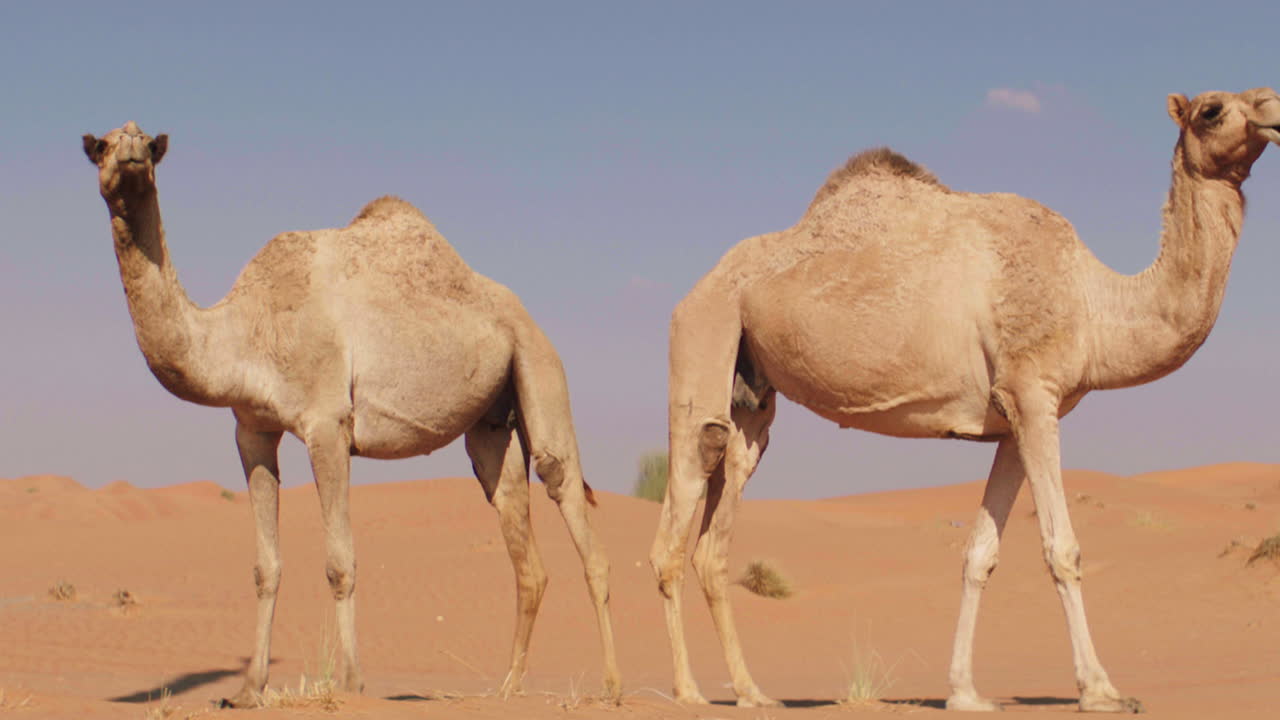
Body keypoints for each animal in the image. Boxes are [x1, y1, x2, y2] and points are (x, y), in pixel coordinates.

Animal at [83, 122, 621, 707]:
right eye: (103, 145)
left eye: (146, 143)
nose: (133, 156)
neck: (246, 331)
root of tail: (526, 315)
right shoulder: (251, 430)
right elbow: (265, 566)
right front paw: (248, 689)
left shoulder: (327, 423)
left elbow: (340, 562)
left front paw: (349, 682)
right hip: (491, 421)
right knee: (518, 534)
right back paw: (508, 687)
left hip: (540, 363)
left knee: (566, 491)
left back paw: (612, 686)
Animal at [649, 88, 1280, 712]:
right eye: (1212, 110)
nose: (1273, 110)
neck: (1094, 304)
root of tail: (695, 289)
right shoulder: (1033, 392)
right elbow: (1062, 548)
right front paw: (1101, 690)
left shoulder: (1013, 418)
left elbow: (979, 554)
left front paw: (965, 692)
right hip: (705, 333)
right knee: (680, 511)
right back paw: (688, 691)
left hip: (752, 396)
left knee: (719, 525)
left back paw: (752, 692)